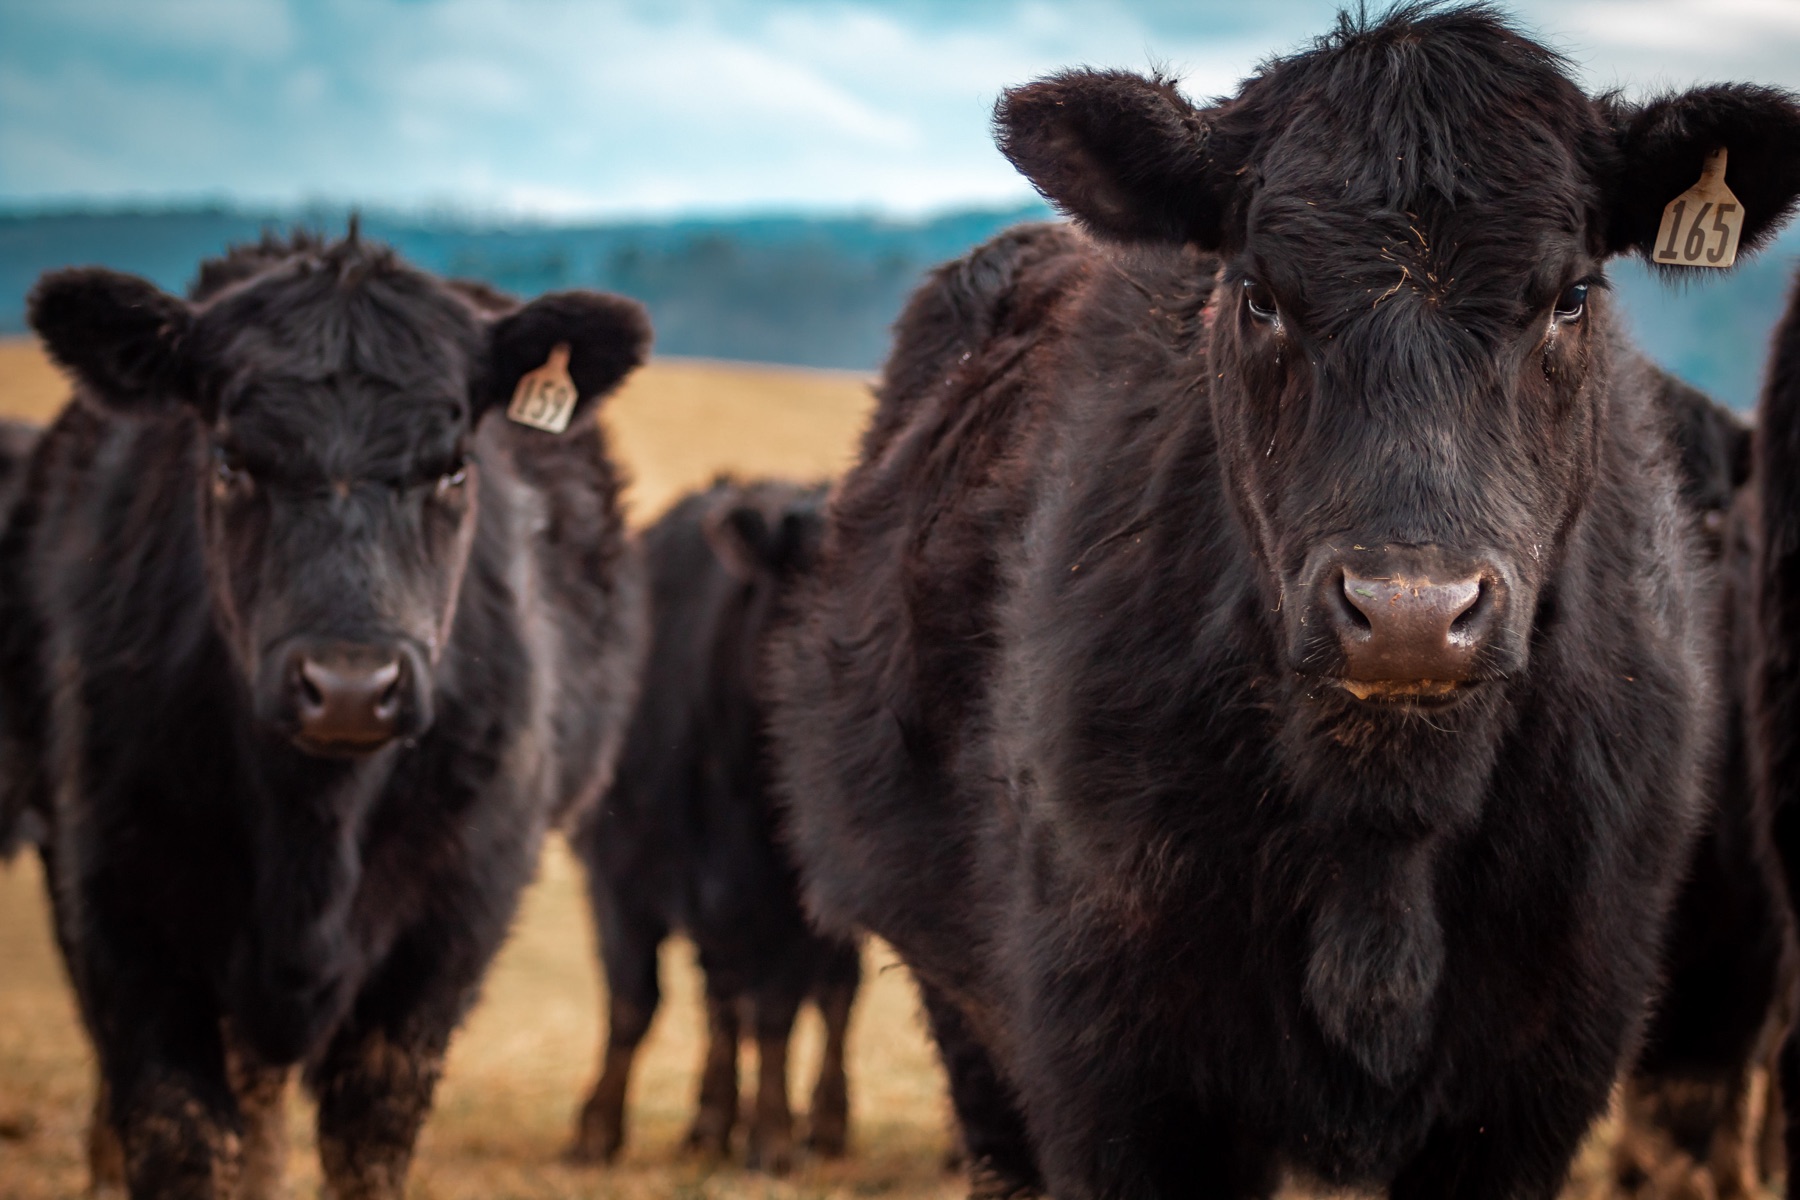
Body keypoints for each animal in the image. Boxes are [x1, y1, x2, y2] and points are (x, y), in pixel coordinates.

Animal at [0, 229, 650, 1199]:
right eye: (231, 461)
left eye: (453, 468)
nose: (350, 685)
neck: (313, 826)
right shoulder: (116, 894)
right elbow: (180, 1132)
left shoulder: (454, 915)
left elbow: (370, 1133)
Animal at [567, 477, 861, 1174]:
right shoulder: (620, 877)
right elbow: (632, 1004)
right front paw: (597, 1129)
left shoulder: (792, 904)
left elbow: (780, 1012)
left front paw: (774, 1135)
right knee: (723, 1000)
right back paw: (710, 1124)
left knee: (835, 996)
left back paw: (824, 1123)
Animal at [767, 6, 1800, 1198]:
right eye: (1258, 294)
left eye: (1571, 295)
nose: (1411, 612)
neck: (1385, 827)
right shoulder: (1108, 1070)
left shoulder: (1545, 1071)